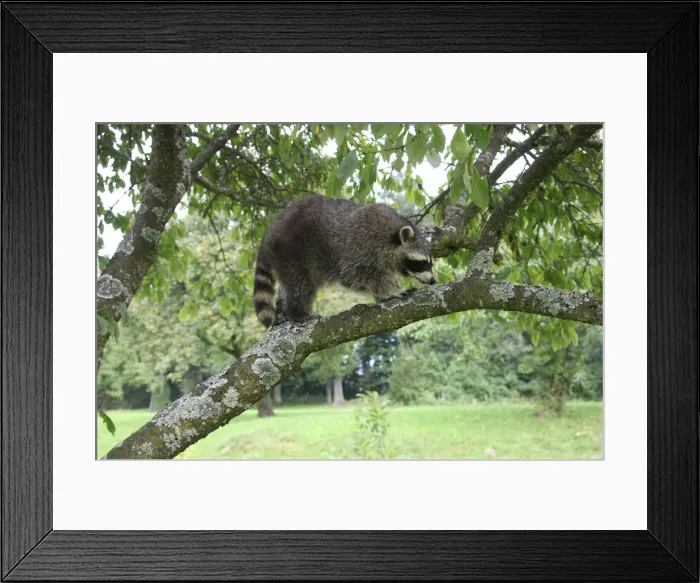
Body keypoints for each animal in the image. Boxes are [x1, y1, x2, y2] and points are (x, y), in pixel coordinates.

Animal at [253, 195, 435, 328]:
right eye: (421, 263)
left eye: (429, 262)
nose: (433, 281)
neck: (389, 234)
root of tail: (268, 236)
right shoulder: (361, 244)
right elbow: (354, 275)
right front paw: (392, 290)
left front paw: (382, 295)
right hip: (290, 252)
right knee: (300, 284)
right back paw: (297, 313)